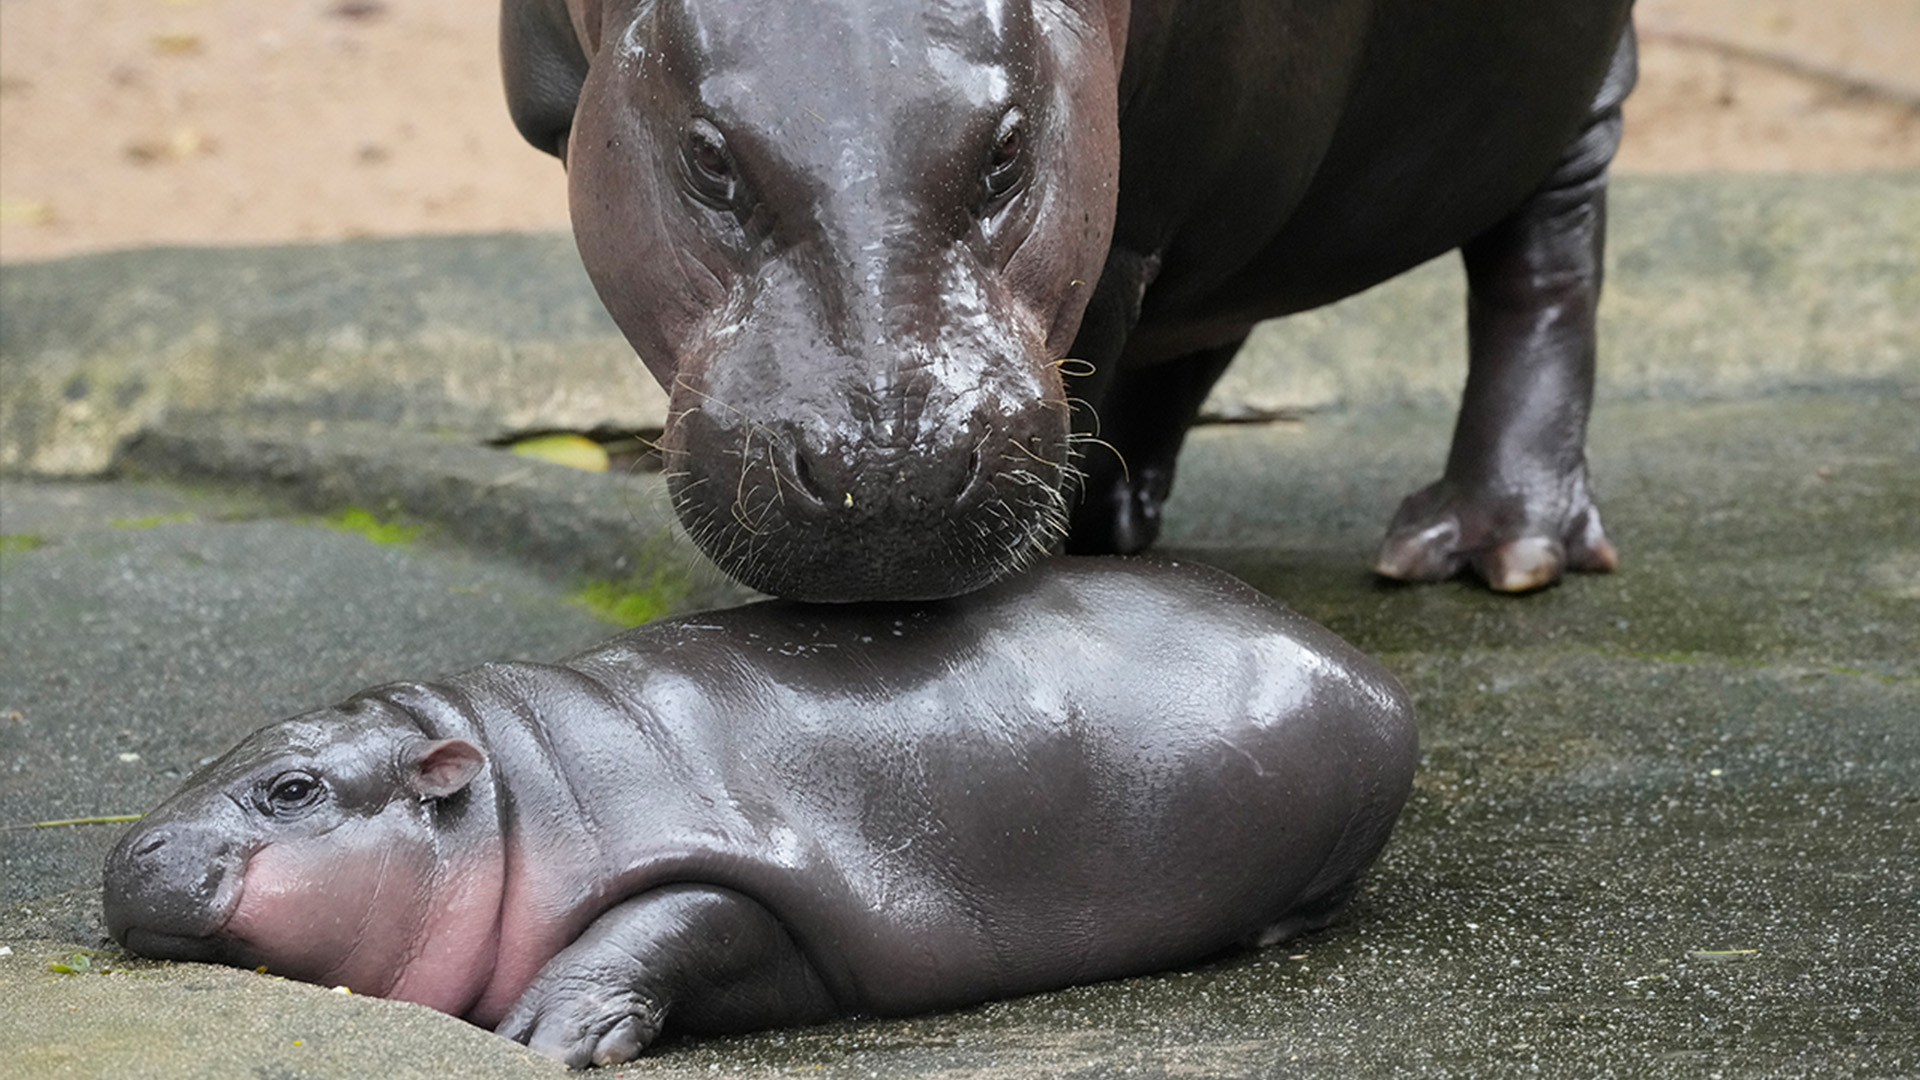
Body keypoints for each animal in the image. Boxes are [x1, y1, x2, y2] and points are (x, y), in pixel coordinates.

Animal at [104, 558, 1416, 1067]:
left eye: (293, 790)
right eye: (224, 750)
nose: (132, 853)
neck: (510, 795)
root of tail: (1370, 668)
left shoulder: (744, 868)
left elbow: (666, 923)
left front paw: (543, 1035)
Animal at [501, 0, 1636, 602]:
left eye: (1007, 149)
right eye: (707, 156)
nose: (890, 471)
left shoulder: (1128, 220)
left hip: (1572, 105)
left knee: (1545, 270)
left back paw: (1494, 549)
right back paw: (1123, 519)